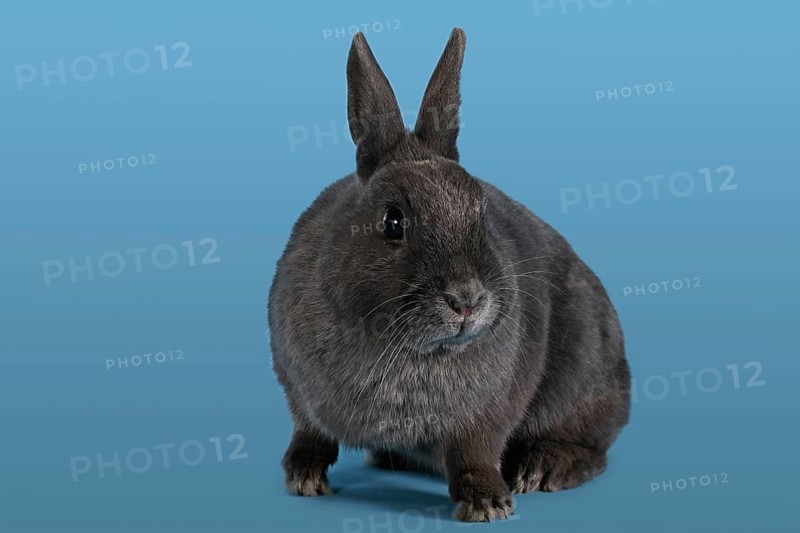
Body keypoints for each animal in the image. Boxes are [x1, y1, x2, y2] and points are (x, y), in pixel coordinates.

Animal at [268, 27, 631, 522]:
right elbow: (309, 432)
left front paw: (488, 503)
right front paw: (303, 479)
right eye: (393, 221)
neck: (411, 350)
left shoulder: (486, 415)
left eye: (481, 211)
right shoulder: (295, 387)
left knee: (592, 447)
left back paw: (543, 468)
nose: (467, 300)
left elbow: (474, 453)